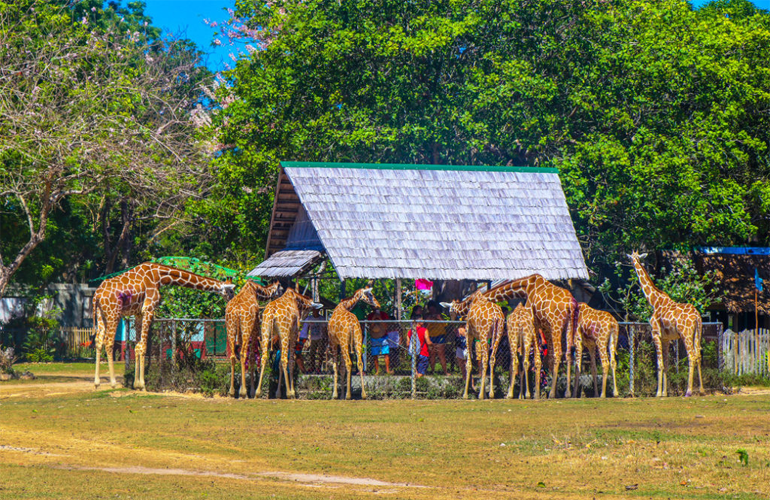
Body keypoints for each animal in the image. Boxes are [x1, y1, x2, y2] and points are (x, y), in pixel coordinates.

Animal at [92, 262, 234, 390]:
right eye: (230, 290)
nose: (232, 299)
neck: (159, 276)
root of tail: (96, 295)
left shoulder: (138, 313)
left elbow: (137, 346)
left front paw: (136, 384)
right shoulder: (149, 309)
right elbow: (143, 347)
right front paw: (142, 384)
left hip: (101, 315)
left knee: (98, 341)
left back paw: (97, 383)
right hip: (113, 313)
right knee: (108, 342)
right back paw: (113, 383)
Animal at [624, 252, 704, 396]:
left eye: (632, 258)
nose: (632, 263)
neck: (654, 301)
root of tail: (697, 316)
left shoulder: (655, 333)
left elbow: (659, 364)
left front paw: (657, 393)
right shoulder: (666, 338)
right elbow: (666, 365)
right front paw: (664, 393)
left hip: (686, 334)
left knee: (691, 356)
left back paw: (688, 391)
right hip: (697, 333)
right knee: (698, 355)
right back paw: (701, 390)